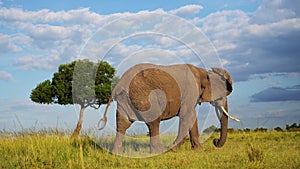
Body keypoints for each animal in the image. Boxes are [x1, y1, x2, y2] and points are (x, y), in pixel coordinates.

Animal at [98, 62, 239, 154]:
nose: (215, 141)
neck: (202, 71)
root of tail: (119, 83)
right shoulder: (191, 90)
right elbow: (186, 115)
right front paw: (172, 149)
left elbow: (192, 118)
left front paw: (198, 150)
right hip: (143, 94)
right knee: (153, 121)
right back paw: (159, 151)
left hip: (125, 98)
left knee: (123, 123)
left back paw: (116, 153)